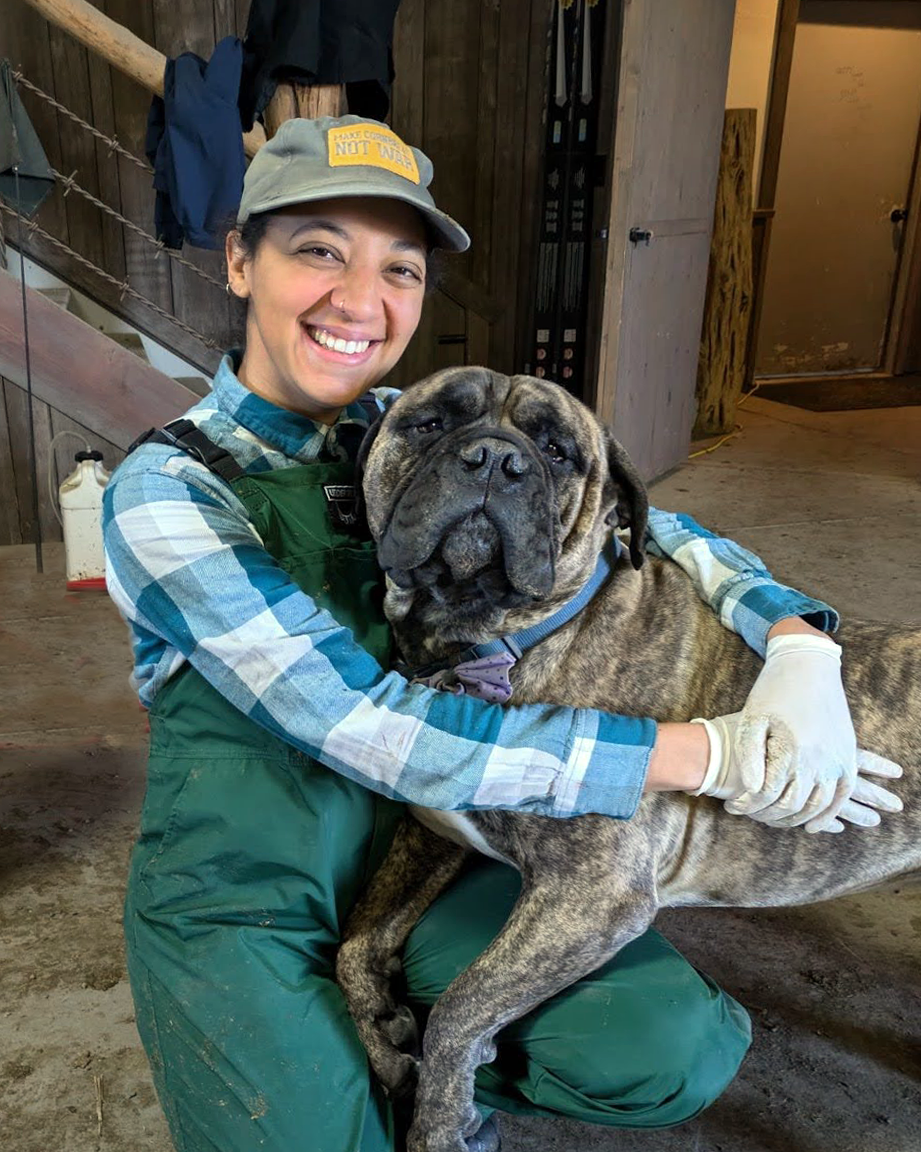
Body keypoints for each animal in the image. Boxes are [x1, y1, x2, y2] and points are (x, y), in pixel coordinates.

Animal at [336, 366, 921, 1152]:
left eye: (556, 451)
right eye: (429, 424)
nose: (493, 459)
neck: (490, 641)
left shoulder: (591, 896)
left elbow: (461, 1005)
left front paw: (442, 1123)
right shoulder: (432, 833)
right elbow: (357, 937)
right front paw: (383, 1037)